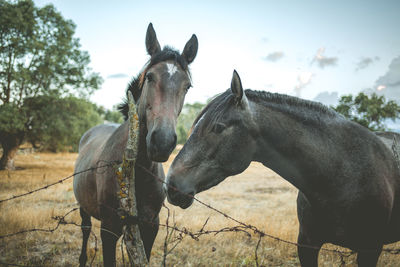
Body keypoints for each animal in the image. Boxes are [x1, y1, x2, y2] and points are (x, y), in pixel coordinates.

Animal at [72, 23, 198, 267]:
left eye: (188, 86)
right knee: (85, 229)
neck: (136, 171)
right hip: (84, 209)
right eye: (149, 77)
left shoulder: (150, 227)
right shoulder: (109, 229)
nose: (162, 141)